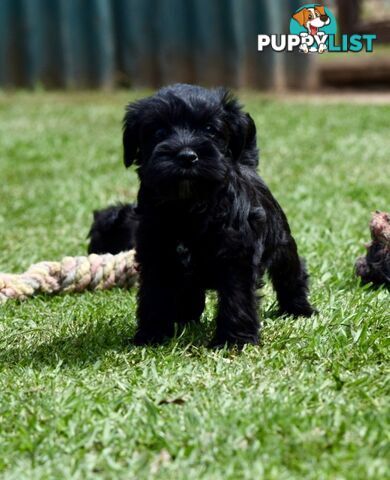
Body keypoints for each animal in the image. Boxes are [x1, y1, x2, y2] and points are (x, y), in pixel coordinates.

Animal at [117, 82, 316, 344]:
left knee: (291, 274)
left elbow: (237, 299)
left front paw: (234, 340)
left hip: (282, 243)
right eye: (159, 131)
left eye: (210, 129)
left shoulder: (237, 257)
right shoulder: (156, 255)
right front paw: (151, 335)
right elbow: (154, 296)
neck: (188, 205)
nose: (187, 156)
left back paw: (299, 309)